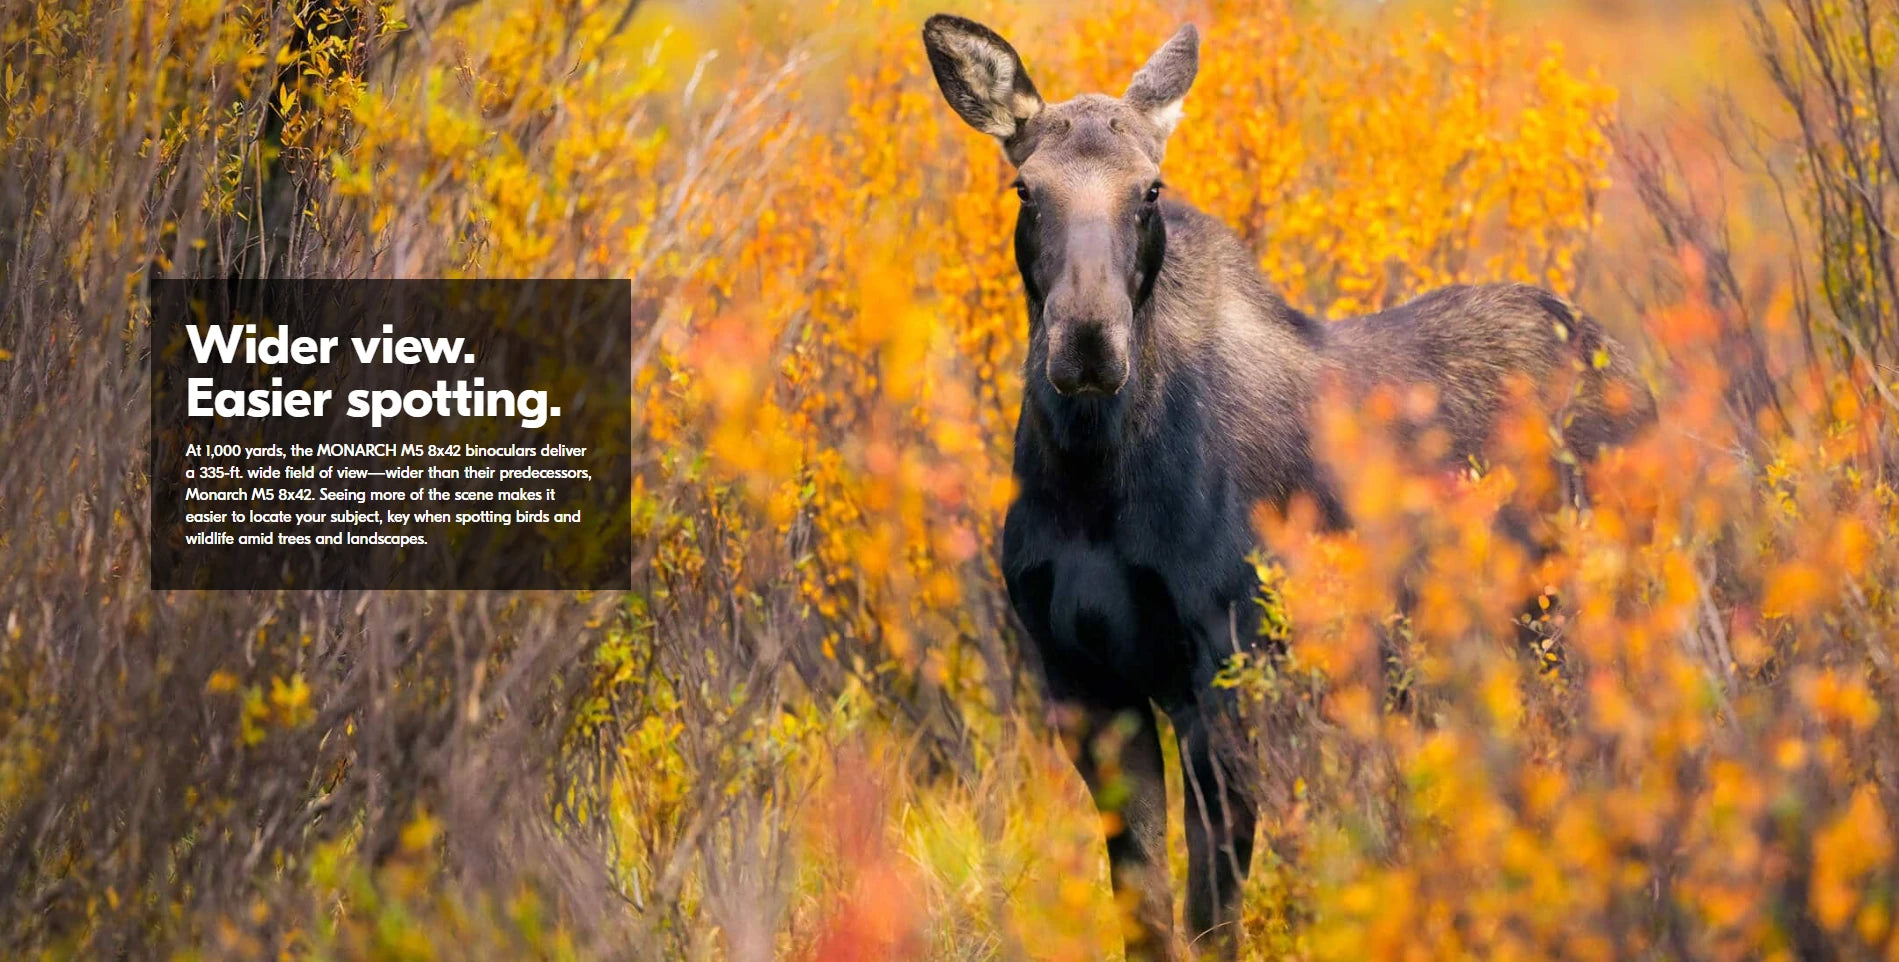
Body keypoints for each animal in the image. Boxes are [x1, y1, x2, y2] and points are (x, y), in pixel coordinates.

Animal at [920, 14, 1655, 960]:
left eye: (1149, 190)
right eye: (1023, 188)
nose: (1086, 342)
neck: (1090, 482)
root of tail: (1628, 371)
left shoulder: (1227, 671)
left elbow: (1212, 915)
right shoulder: (1084, 686)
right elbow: (1145, 912)